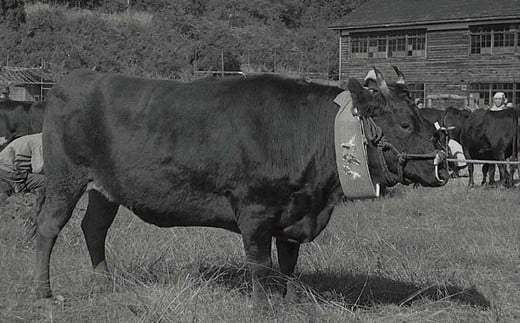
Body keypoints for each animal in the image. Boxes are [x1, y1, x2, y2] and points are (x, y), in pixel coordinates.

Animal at [34, 68, 448, 306]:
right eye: (405, 123)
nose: (442, 164)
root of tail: (69, 81)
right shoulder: (256, 211)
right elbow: (260, 267)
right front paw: (263, 307)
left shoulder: (295, 215)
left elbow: (288, 266)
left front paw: (290, 304)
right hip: (65, 177)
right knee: (48, 229)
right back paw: (45, 293)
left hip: (105, 189)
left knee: (94, 228)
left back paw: (104, 283)